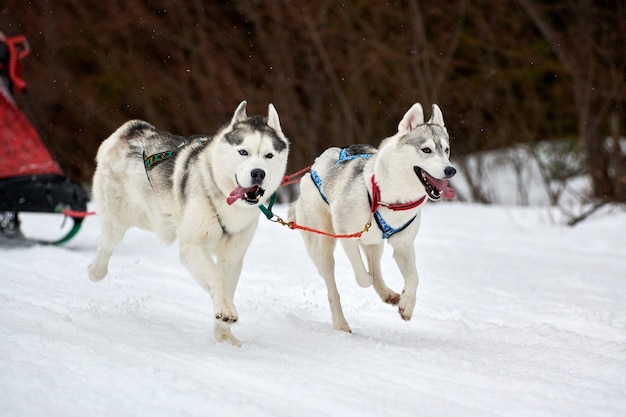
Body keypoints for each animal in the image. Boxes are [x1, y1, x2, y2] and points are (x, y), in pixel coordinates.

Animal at [87, 101, 288, 344]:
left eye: (269, 155)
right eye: (243, 152)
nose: (258, 173)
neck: (225, 202)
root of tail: (132, 129)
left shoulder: (232, 257)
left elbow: (225, 283)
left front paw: (223, 334)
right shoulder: (192, 246)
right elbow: (216, 276)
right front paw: (224, 309)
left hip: (155, 220)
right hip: (117, 221)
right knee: (106, 245)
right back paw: (94, 271)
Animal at [290, 103, 456, 332]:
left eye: (446, 150)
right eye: (426, 150)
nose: (451, 170)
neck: (391, 198)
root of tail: (314, 166)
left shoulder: (403, 245)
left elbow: (414, 277)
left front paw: (407, 305)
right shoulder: (347, 235)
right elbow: (362, 277)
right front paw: (367, 281)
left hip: (375, 244)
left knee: (376, 271)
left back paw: (389, 295)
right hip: (324, 246)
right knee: (335, 290)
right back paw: (341, 324)